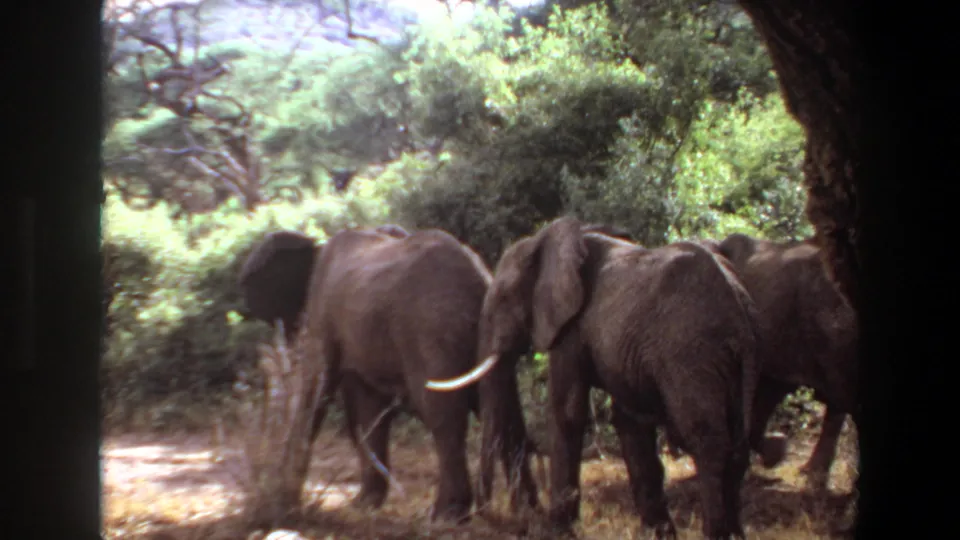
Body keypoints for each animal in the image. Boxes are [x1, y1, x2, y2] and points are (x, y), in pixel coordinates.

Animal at [236, 224, 538, 523]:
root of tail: (478, 277)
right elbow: (369, 412)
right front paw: (364, 504)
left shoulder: (323, 312)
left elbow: (316, 390)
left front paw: (288, 500)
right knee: (507, 414)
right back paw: (525, 511)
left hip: (430, 332)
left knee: (443, 415)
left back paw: (446, 514)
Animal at [427, 216, 764, 539]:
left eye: (503, 299)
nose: (484, 514)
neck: (548, 241)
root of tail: (738, 307)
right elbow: (629, 422)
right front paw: (657, 534)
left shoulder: (571, 328)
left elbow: (567, 412)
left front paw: (555, 531)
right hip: (732, 358)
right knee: (737, 444)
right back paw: (736, 534)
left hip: (690, 353)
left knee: (707, 439)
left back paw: (716, 533)